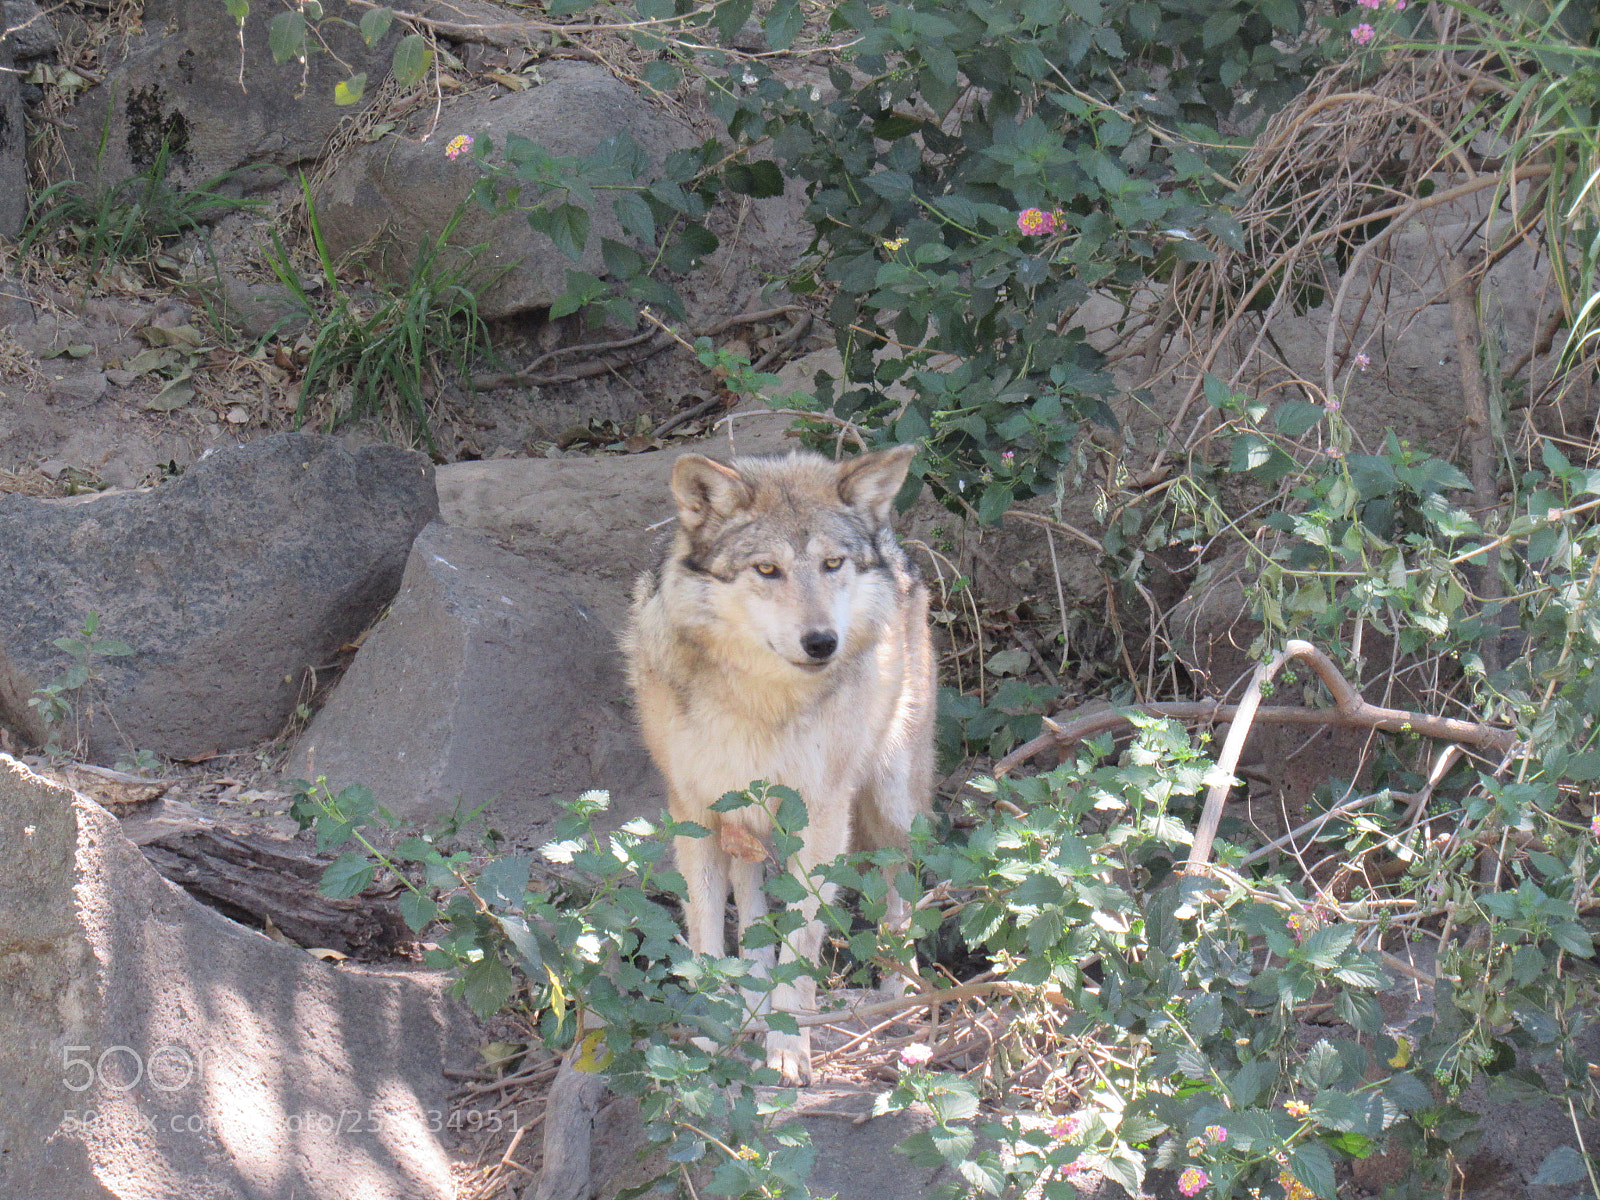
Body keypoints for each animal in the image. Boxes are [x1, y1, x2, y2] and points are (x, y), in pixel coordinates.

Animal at [623, 444, 935, 1085]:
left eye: (833, 564)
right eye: (767, 570)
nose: (822, 642)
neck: (759, 702)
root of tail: (897, 546)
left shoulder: (821, 817)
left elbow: (804, 937)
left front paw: (789, 1048)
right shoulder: (694, 812)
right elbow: (708, 935)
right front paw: (711, 1033)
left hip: (891, 801)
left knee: (900, 895)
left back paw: (898, 997)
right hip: (747, 820)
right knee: (753, 908)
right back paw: (751, 1000)